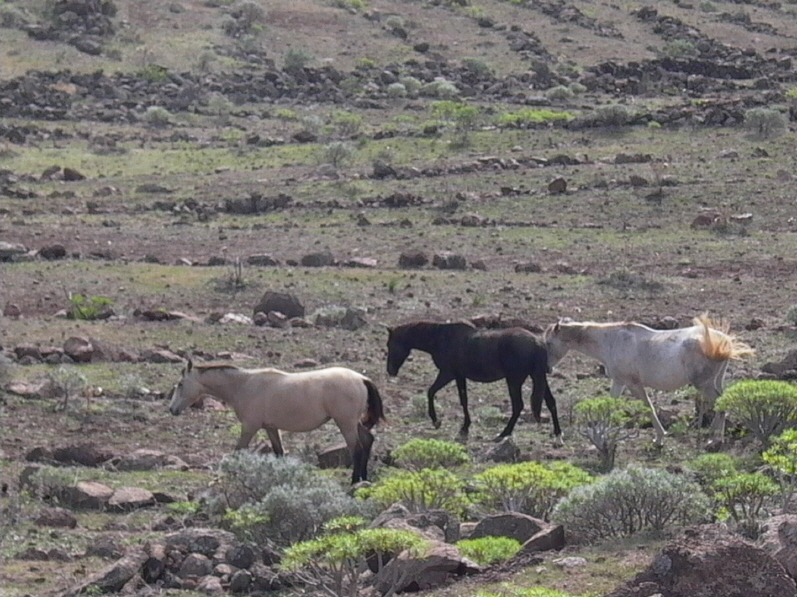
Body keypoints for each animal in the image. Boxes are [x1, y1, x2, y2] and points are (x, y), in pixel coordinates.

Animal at [166, 358, 384, 484]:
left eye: (180, 384)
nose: (172, 409)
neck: (243, 385)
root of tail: (362, 378)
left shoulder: (250, 427)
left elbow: (238, 452)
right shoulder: (270, 428)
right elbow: (279, 453)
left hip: (345, 423)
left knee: (356, 448)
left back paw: (354, 481)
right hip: (353, 422)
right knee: (367, 441)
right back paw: (364, 478)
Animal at [384, 322, 560, 442]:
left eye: (390, 344)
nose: (390, 370)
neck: (441, 338)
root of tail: (537, 343)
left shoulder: (448, 374)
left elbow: (433, 392)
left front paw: (438, 421)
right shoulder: (459, 377)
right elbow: (461, 399)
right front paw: (463, 427)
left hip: (514, 381)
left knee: (518, 406)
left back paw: (503, 434)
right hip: (538, 377)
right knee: (551, 401)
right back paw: (558, 433)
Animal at [540, 314, 752, 444]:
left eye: (549, 342)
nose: (547, 368)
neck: (611, 340)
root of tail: (723, 342)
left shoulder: (634, 384)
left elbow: (647, 406)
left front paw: (659, 437)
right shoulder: (619, 382)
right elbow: (610, 404)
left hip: (704, 384)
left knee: (720, 404)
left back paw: (715, 438)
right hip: (715, 381)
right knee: (721, 402)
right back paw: (713, 436)